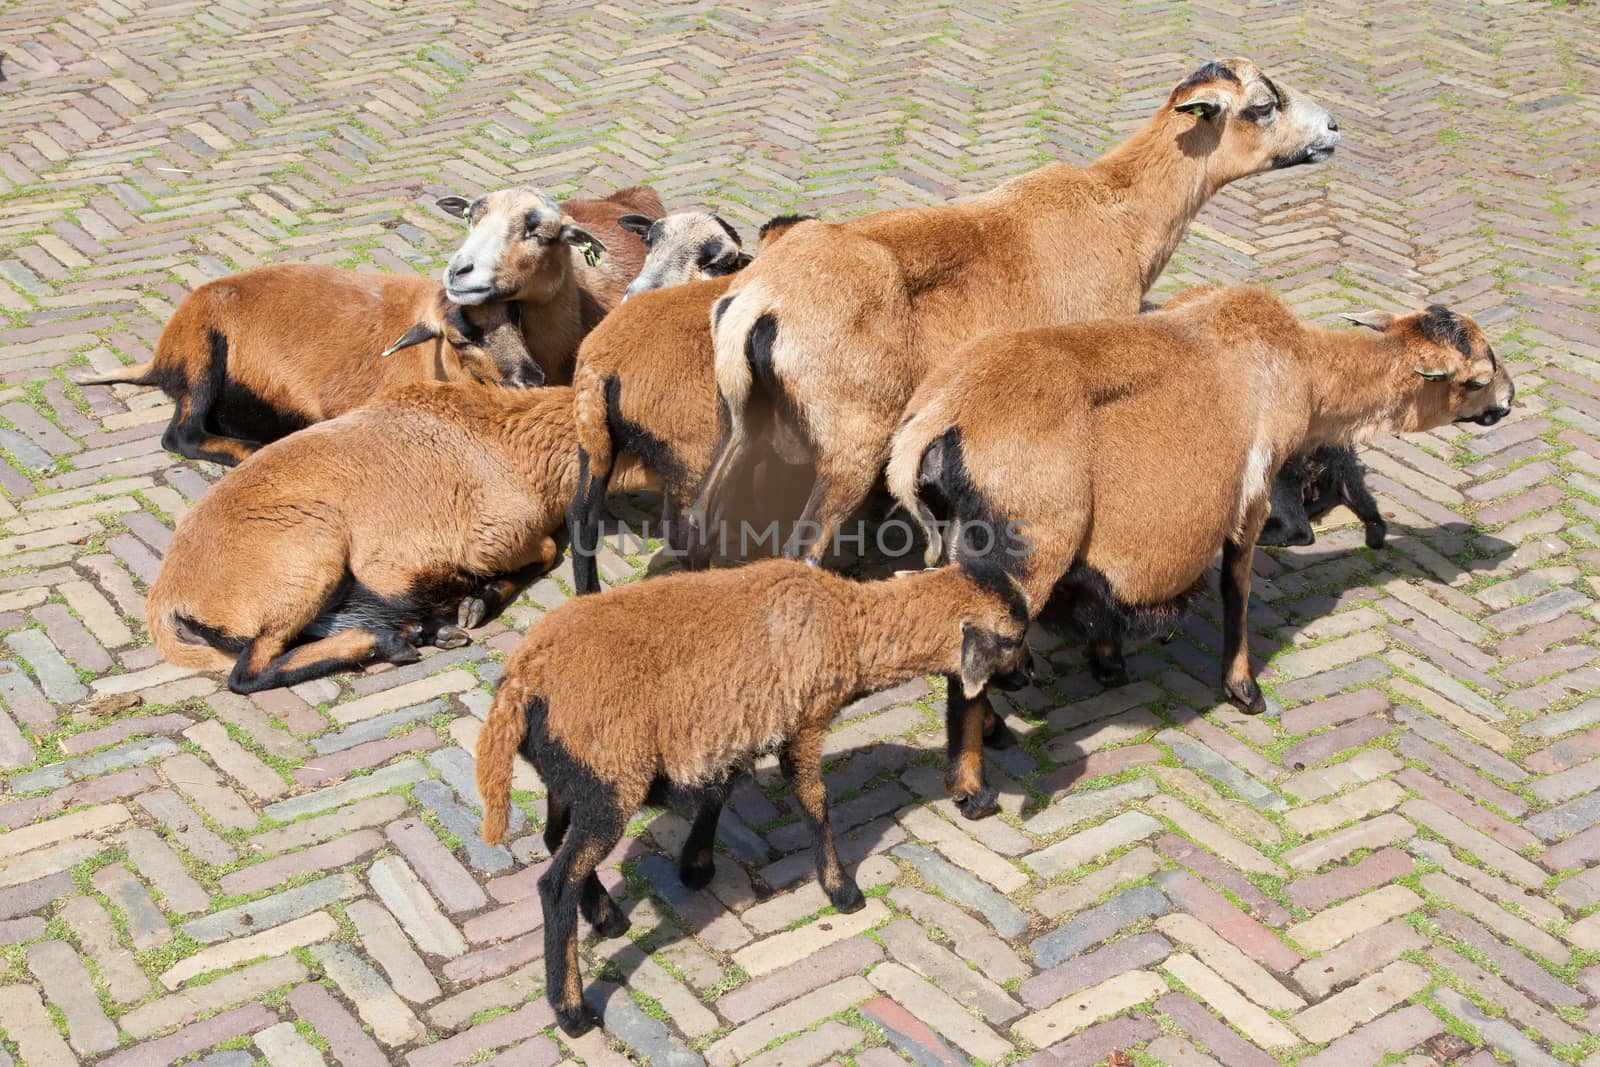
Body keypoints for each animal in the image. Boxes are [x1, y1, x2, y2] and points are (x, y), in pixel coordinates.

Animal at [467, 559, 1030, 1036]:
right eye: (1014, 638)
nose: (1030, 675)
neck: (851, 626)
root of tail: (521, 682)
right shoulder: (803, 723)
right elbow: (814, 803)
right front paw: (842, 890)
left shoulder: (739, 726)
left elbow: (720, 793)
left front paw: (695, 865)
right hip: (611, 779)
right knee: (555, 883)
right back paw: (572, 1011)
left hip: (574, 776)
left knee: (555, 839)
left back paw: (607, 918)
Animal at [566, 211, 819, 591]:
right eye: (649, 241)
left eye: (717, 262)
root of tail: (608, 363)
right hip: (692, 453)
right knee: (687, 534)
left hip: (593, 438)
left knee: (581, 517)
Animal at [697, 57, 1337, 563]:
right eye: (1263, 106)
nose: (1332, 128)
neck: (1123, 212)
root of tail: (759, 299)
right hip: (850, 435)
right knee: (801, 552)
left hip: (745, 422)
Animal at [889, 292, 1510, 819]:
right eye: (1478, 375)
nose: (1509, 400)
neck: (1307, 369)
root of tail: (940, 415)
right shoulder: (1253, 495)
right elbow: (1238, 588)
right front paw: (1244, 690)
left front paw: (1109, 662)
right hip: (1030, 544)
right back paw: (972, 791)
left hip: (959, 542)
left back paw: (995, 731)